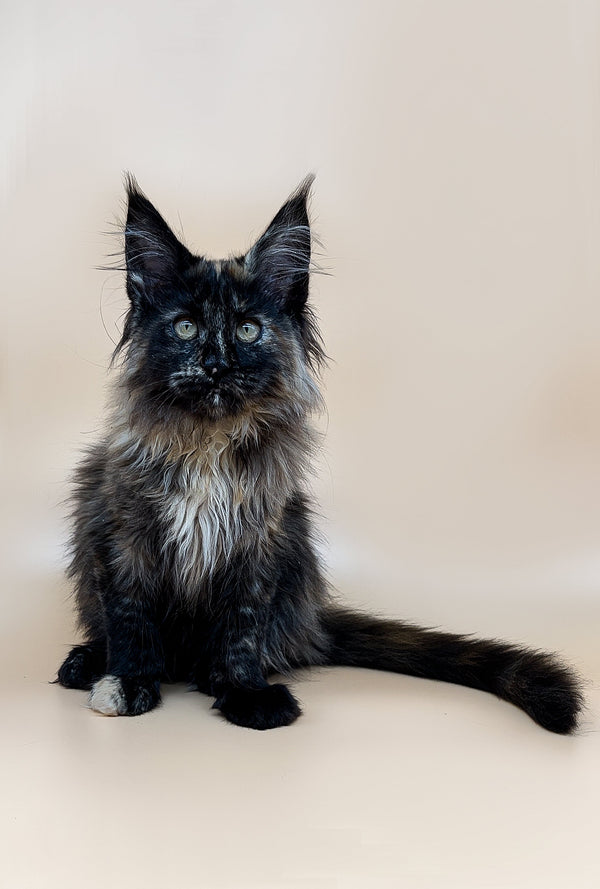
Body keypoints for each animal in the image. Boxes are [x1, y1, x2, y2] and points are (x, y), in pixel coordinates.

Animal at [56, 177, 580, 732]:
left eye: (247, 329)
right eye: (185, 328)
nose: (217, 364)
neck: (208, 442)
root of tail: (313, 621)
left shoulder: (261, 540)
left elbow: (242, 628)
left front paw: (244, 692)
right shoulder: (123, 534)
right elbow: (131, 620)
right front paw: (130, 683)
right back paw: (87, 662)